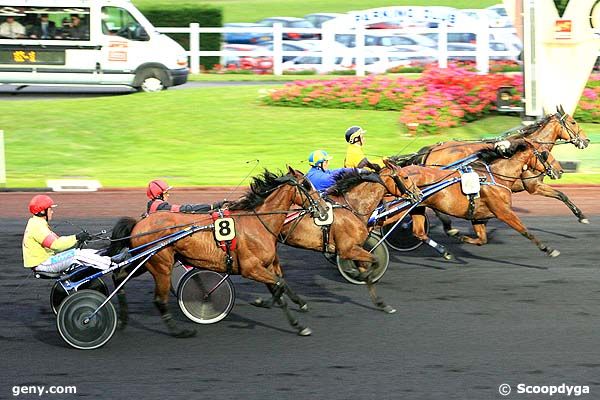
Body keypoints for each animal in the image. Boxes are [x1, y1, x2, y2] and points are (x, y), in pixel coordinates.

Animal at [105, 167, 326, 340]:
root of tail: (139, 223)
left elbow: (280, 287)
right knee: (159, 300)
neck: (258, 222)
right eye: (306, 184)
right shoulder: (251, 268)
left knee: (120, 275)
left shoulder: (265, 266)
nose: (323, 208)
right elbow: (279, 285)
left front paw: (299, 324)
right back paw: (179, 332)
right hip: (160, 265)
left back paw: (123, 320)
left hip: (145, 261)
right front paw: (262, 303)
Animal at [262, 158, 422, 314]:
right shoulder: (348, 250)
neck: (352, 207)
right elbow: (375, 261)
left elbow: (368, 271)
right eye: (406, 176)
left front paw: (381, 304)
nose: (419, 194)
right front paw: (354, 273)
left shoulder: (356, 248)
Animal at [384, 139, 564, 260]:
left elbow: (482, 239)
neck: (496, 176)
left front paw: (461, 237)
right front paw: (548, 249)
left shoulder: (479, 216)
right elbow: (525, 231)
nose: (559, 170)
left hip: (417, 207)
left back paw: (445, 250)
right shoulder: (504, 212)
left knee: (419, 232)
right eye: (545, 153)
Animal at [398, 107, 592, 238]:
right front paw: (582, 216)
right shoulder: (533, 186)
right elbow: (562, 195)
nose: (586, 140)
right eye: (573, 122)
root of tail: (431, 149)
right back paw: (447, 226)